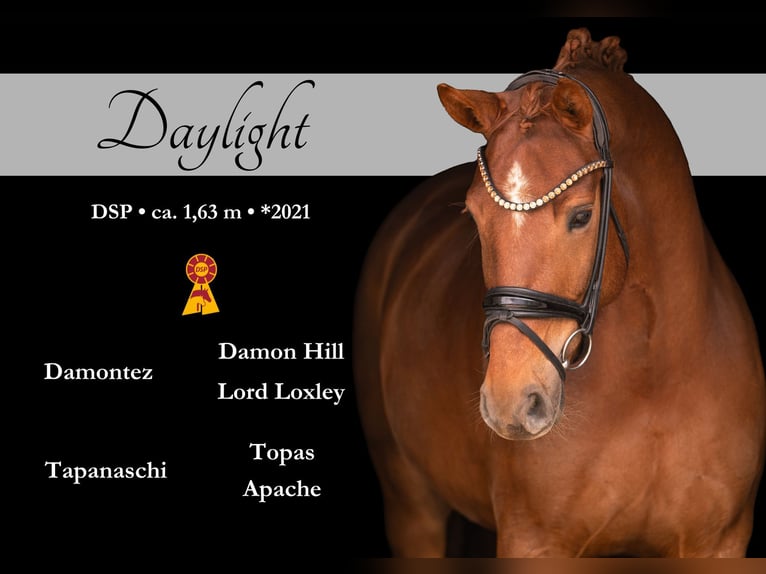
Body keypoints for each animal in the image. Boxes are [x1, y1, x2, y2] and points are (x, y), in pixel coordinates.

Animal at [352, 28, 766, 557]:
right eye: (473, 215)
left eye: (582, 216)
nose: (510, 403)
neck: (654, 375)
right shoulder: (533, 542)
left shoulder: (720, 543)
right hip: (412, 505)